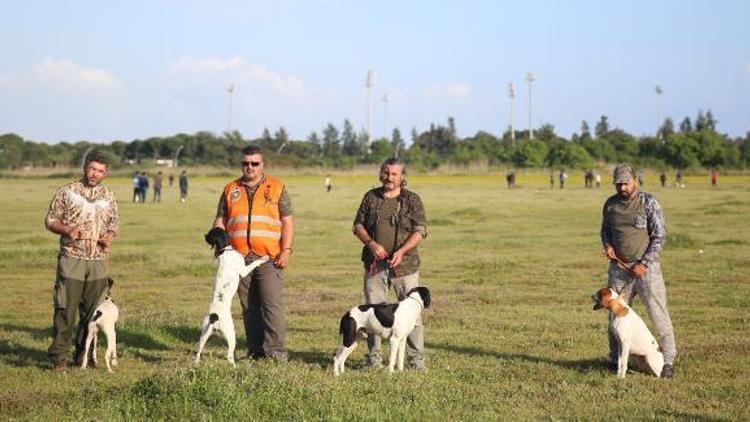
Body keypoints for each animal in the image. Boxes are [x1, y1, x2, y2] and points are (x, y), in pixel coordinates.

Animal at [197, 227, 270, 366]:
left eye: (209, 234)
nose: (203, 235)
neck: (226, 250)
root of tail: (215, 318)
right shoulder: (243, 271)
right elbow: (254, 263)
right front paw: (264, 257)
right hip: (231, 335)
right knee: (229, 356)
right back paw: (236, 366)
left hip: (204, 333)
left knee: (198, 352)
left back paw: (196, 363)